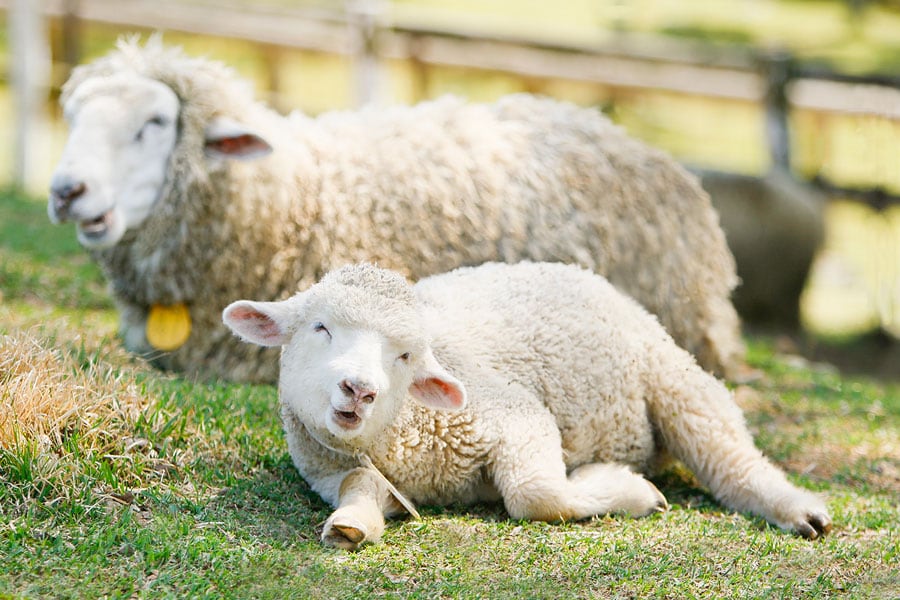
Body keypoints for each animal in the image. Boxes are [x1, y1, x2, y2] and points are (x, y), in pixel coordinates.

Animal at [221, 262, 832, 548]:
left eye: (405, 355)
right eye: (319, 327)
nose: (359, 389)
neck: (403, 435)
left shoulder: (517, 415)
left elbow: (536, 495)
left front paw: (627, 490)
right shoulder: (334, 469)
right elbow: (359, 486)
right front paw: (353, 524)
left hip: (673, 379)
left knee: (732, 456)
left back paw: (797, 509)